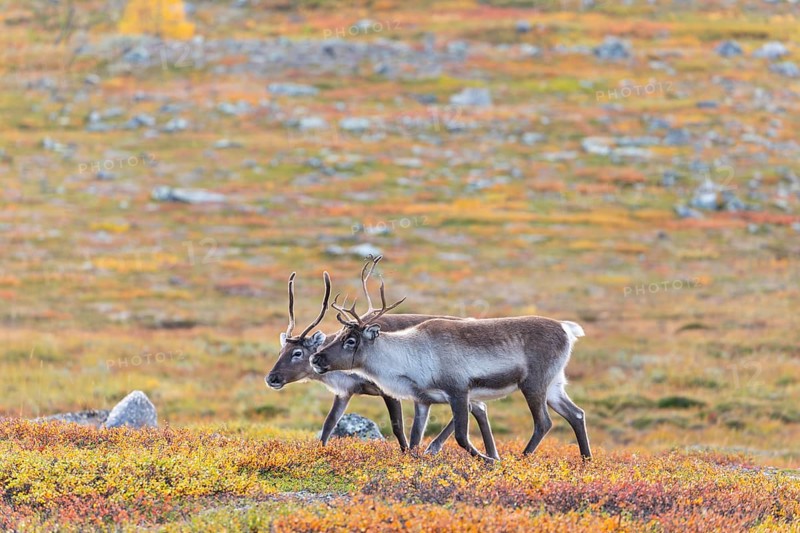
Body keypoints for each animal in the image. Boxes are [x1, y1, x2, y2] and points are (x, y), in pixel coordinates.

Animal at [265, 259, 500, 458]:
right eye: (280, 351)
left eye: (297, 353)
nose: (271, 378)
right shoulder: (345, 392)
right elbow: (329, 424)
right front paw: (320, 452)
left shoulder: (388, 388)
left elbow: (397, 427)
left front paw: (406, 454)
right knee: (479, 408)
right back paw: (492, 455)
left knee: (471, 407)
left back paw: (435, 448)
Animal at [310, 277, 592, 462]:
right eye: (340, 335)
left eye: (351, 340)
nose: (316, 357)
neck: (411, 356)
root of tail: (566, 328)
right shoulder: (423, 400)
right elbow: (415, 438)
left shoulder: (459, 391)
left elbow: (461, 437)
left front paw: (490, 461)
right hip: (555, 385)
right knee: (576, 414)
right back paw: (586, 461)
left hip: (533, 383)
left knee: (543, 422)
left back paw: (522, 459)